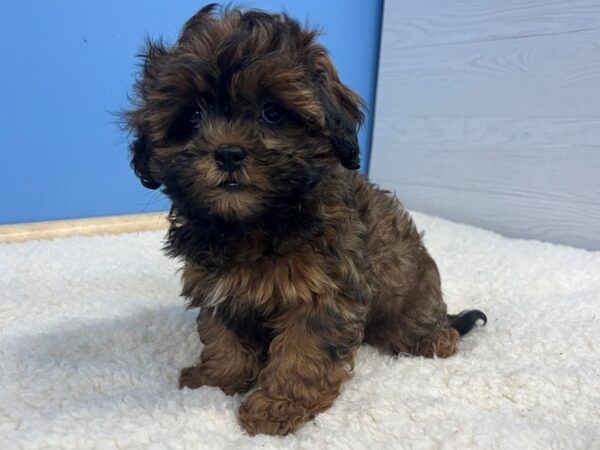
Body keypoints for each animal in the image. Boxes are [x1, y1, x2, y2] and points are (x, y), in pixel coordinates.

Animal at [124, 4, 486, 436]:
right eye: (192, 116)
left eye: (272, 113)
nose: (228, 153)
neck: (254, 223)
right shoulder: (218, 287)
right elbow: (223, 336)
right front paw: (218, 379)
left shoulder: (321, 293)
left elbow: (303, 352)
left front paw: (278, 406)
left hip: (411, 295)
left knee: (418, 324)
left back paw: (434, 340)